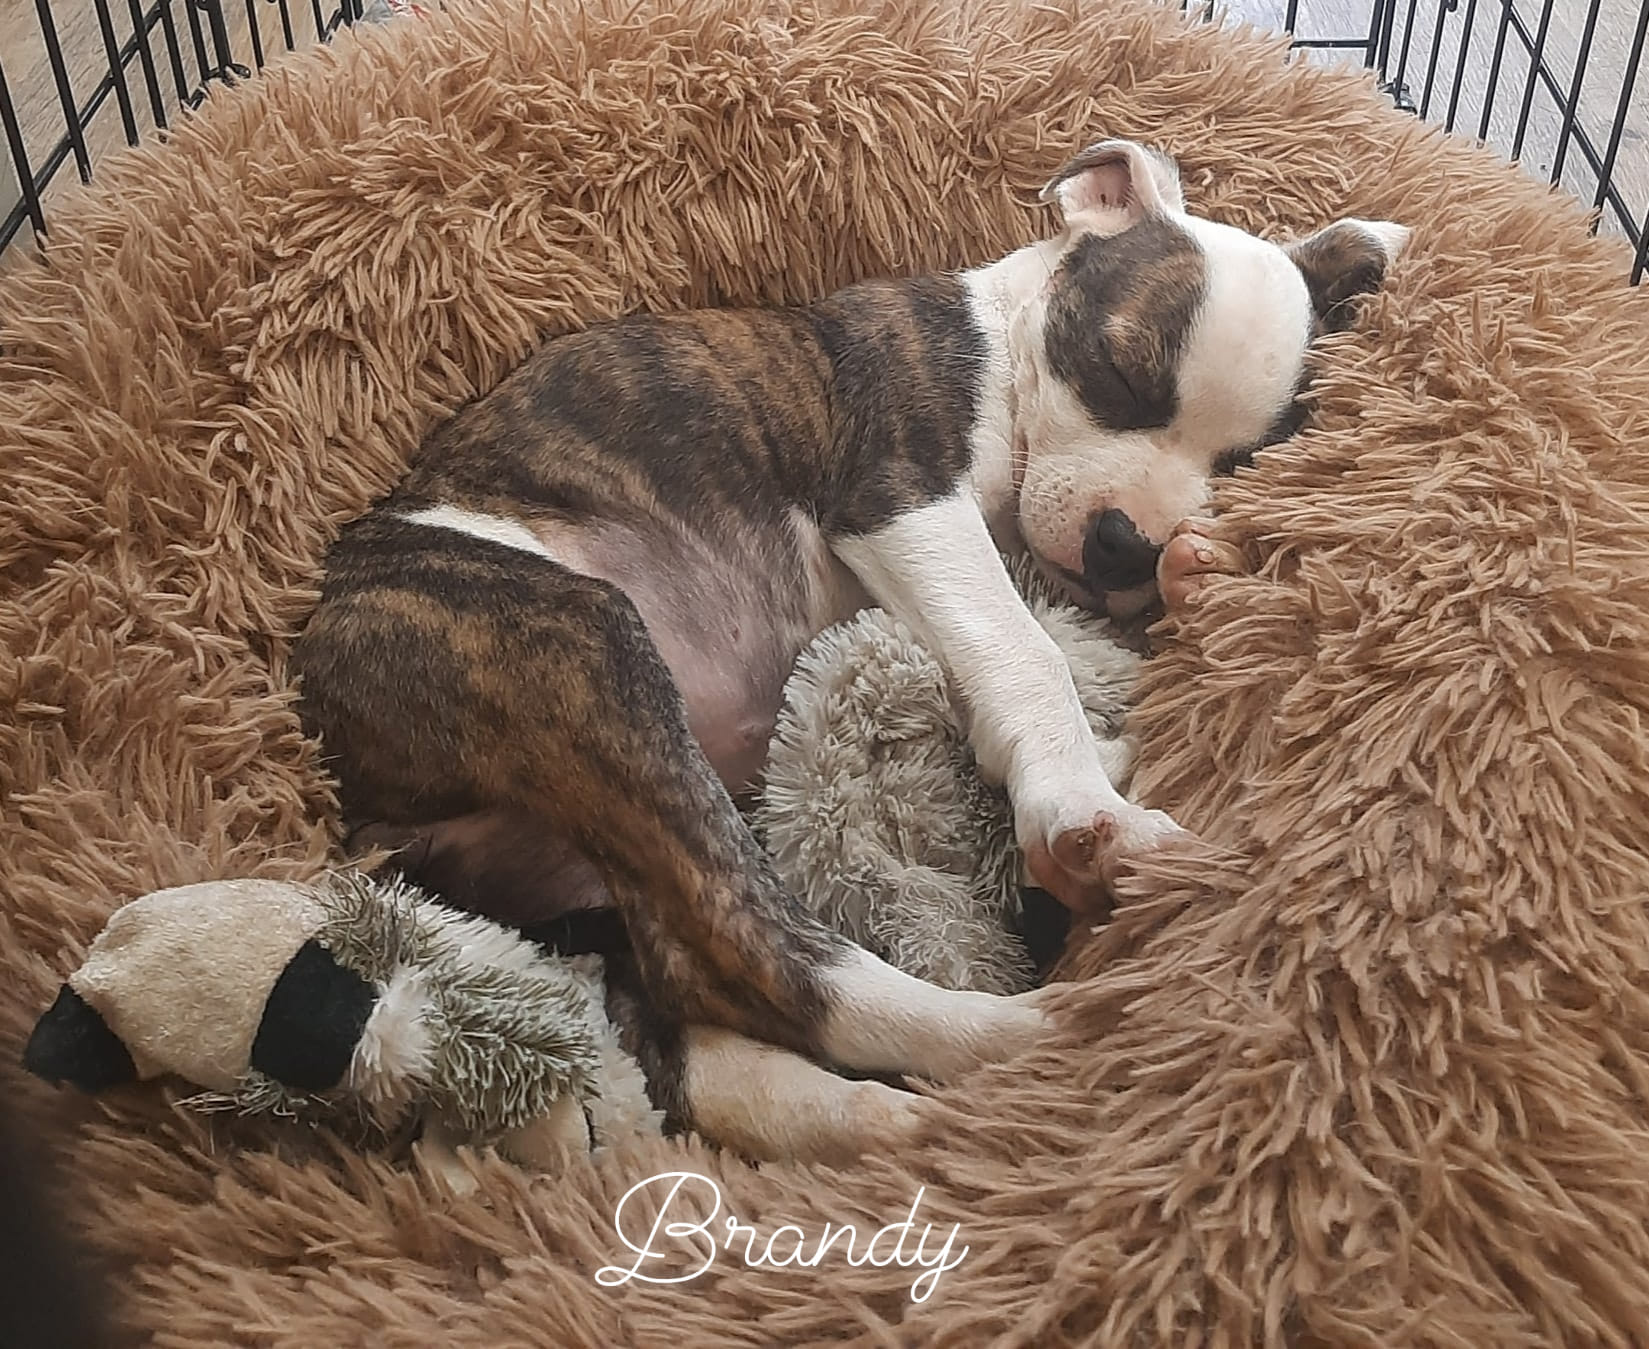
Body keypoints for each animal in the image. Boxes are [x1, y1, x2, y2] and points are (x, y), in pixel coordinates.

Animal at [293, 141, 1404, 1160]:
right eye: (1118, 374)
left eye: (1244, 458)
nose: (1124, 543)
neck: (1001, 341)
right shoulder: (900, 496)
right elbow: (1021, 645)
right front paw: (1077, 802)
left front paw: (1188, 576)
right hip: (571, 643)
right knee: (746, 961)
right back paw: (1046, 1029)